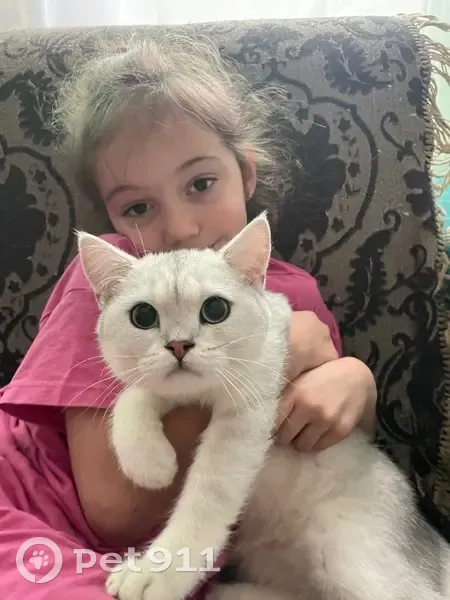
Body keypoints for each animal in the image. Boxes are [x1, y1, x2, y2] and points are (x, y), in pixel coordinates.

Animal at [78, 213, 450, 600]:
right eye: (143, 316)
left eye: (215, 309)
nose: (179, 345)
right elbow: (133, 395)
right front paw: (151, 464)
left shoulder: (245, 414)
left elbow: (206, 499)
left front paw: (157, 573)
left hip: (351, 558)